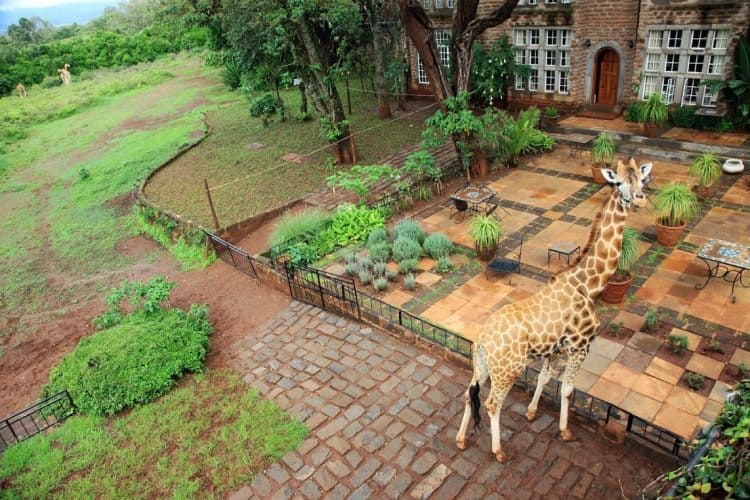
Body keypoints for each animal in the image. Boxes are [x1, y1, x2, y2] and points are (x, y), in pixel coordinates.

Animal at [456, 157, 656, 460]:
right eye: (619, 182)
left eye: (642, 180)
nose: (641, 199)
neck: (588, 284)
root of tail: (481, 340)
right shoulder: (581, 346)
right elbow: (567, 389)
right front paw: (565, 431)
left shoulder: (555, 349)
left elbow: (544, 378)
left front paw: (531, 412)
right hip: (508, 370)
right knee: (492, 404)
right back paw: (498, 450)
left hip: (481, 365)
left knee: (470, 394)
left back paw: (460, 440)